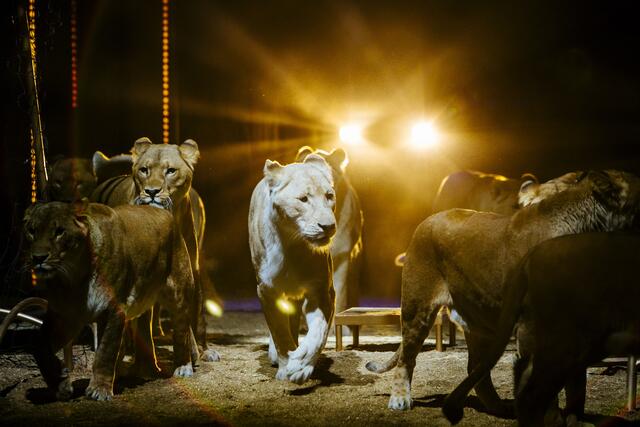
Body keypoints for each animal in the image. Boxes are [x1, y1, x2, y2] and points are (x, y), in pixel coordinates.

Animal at [23, 201, 197, 401]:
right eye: (32, 231)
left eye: (60, 231)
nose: (38, 257)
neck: (74, 279)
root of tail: (164, 212)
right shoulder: (64, 316)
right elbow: (38, 345)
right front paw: (61, 385)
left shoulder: (114, 309)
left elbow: (105, 351)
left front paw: (99, 390)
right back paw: (134, 371)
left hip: (178, 295)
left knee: (182, 332)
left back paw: (183, 367)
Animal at [91, 137, 219, 373]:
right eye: (144, 170)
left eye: (170, 171)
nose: (151, 192)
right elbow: (143, 322)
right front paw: (146, 365)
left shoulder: (192, 268)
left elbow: (195, 313)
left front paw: (198, 352)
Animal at [249, 154, 337, 384]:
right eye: (303, 199)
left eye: (329, 196)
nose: (328, 226)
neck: (294, 247)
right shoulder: (267, 291)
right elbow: (279, 332)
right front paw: (285, 364)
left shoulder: (323, 291)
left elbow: (319, 331)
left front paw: (301, 365)